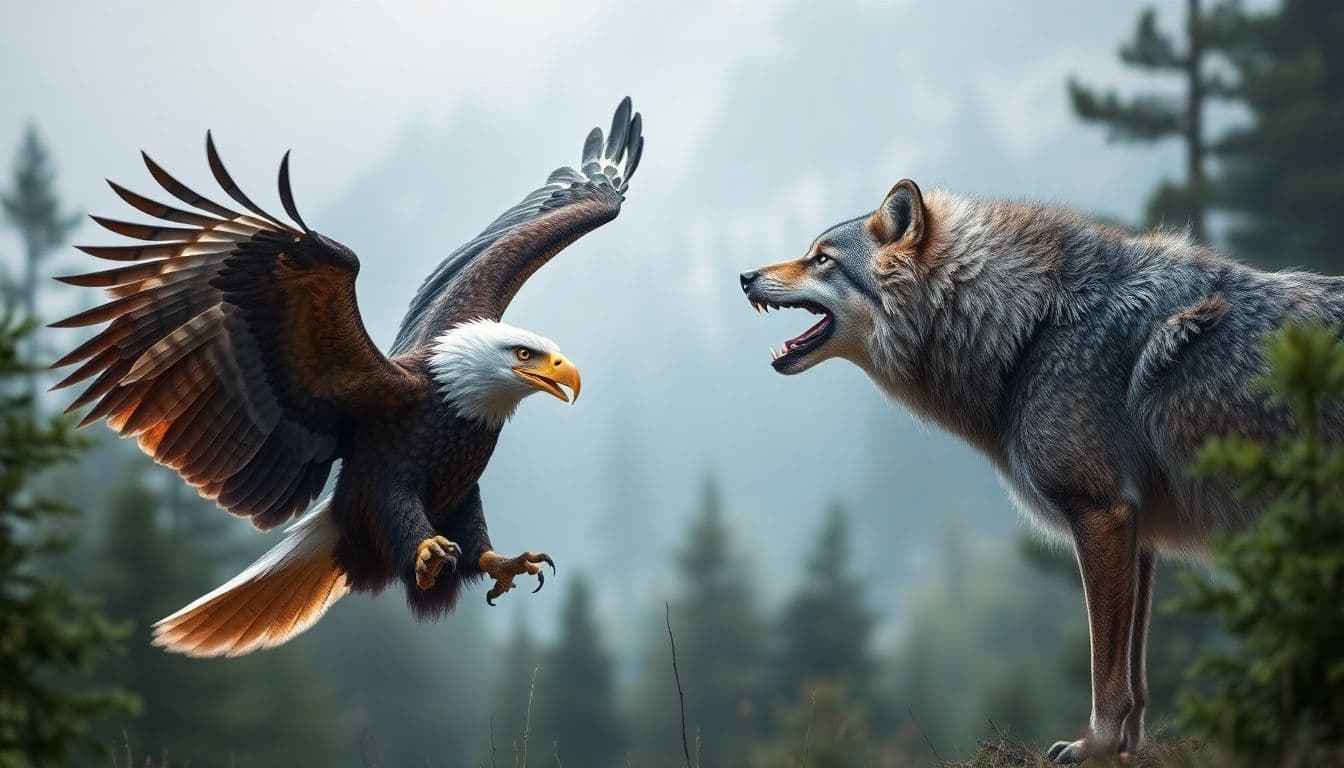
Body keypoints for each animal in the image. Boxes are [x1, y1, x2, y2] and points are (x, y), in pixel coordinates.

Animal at [739, 179, 1344, 763]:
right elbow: (1136, 674)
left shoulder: (1102, 513)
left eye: (821, 259)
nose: (745, 277)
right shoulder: (1138, 532)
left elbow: (1108, 670)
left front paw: (1093, 745)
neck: (1029, 329)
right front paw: (1124, 748)